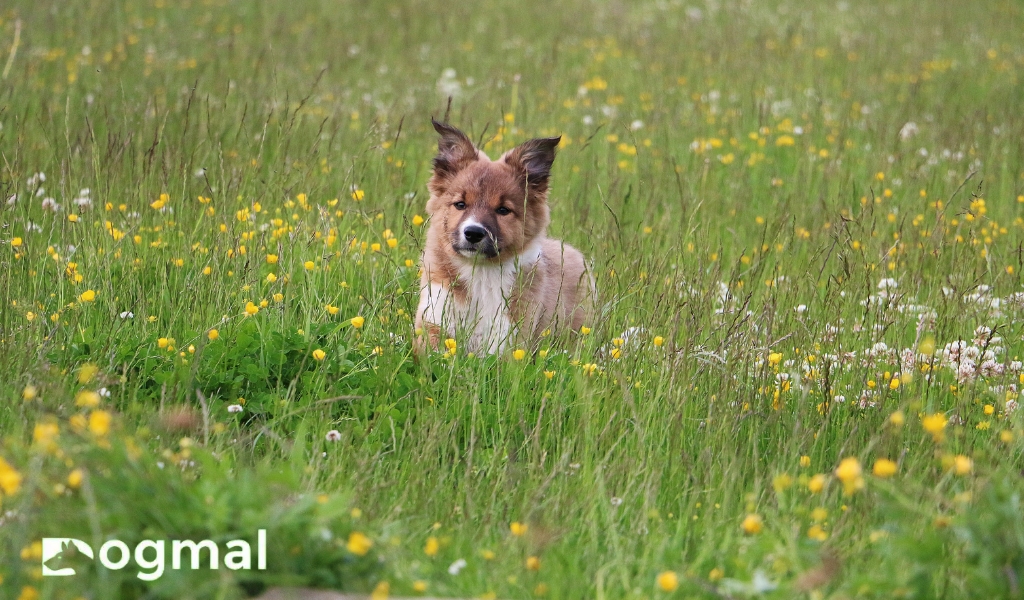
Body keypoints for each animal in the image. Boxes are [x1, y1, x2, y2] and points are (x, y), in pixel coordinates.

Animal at [413, 118, 593, 352]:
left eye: (503, 210)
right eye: (460, 204)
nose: (473, 233)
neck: (480, 273)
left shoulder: (508, 337)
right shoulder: (434, 315)